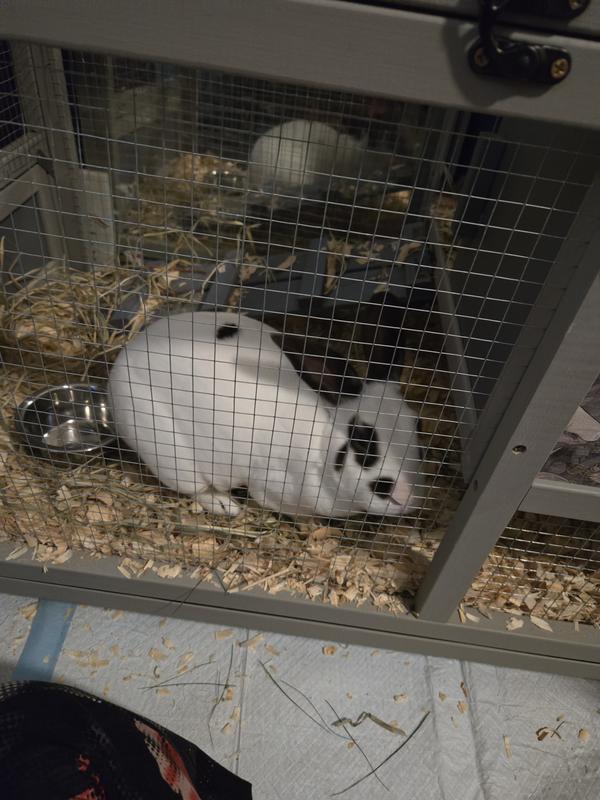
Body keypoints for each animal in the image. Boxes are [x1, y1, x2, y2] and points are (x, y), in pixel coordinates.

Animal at [107, 310, 424, 519]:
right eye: (361, 440)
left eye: (419, 427)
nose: (405, 496)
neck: (321, 444)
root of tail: (124, 359)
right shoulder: (269, 487)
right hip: (169, 453)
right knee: (195, 488)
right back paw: (228, 507)